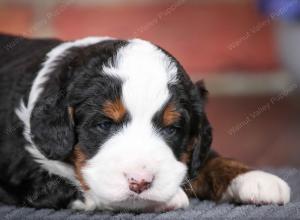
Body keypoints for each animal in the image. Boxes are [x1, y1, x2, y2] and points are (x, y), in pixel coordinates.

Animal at [0, 34, 290, 211]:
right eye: (104, 125)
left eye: (172, 129)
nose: (140, 182)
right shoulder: (26, 174)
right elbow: (83, 187)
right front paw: (166, 197)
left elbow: (203, 159)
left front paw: (253, 178)